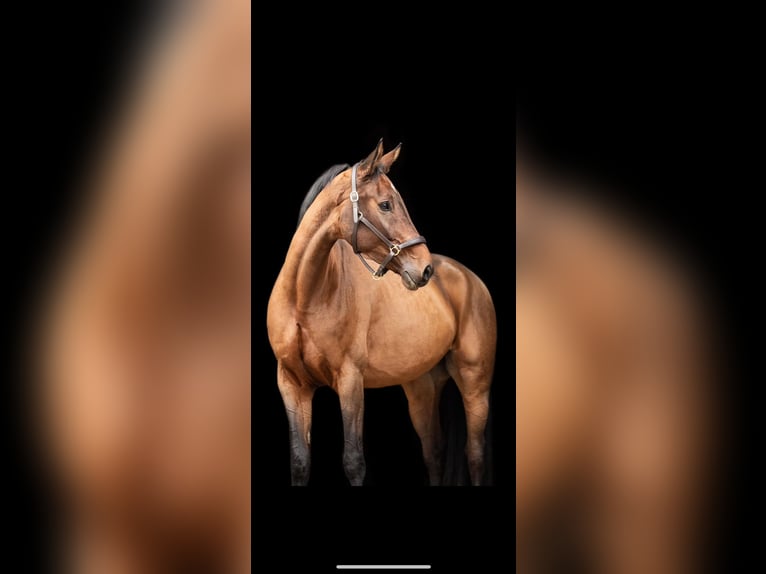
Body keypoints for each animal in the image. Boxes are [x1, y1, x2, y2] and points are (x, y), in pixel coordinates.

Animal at [267, 140, 497, 486]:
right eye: (386, 205)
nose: (424, 268)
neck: (304, 296)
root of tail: (470, 278)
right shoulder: (291, 383)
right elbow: (299, 462)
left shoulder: (350, 380)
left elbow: (353, 461)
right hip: (421, 387)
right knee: (434, 453)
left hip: (474, 384)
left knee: (475, 456)